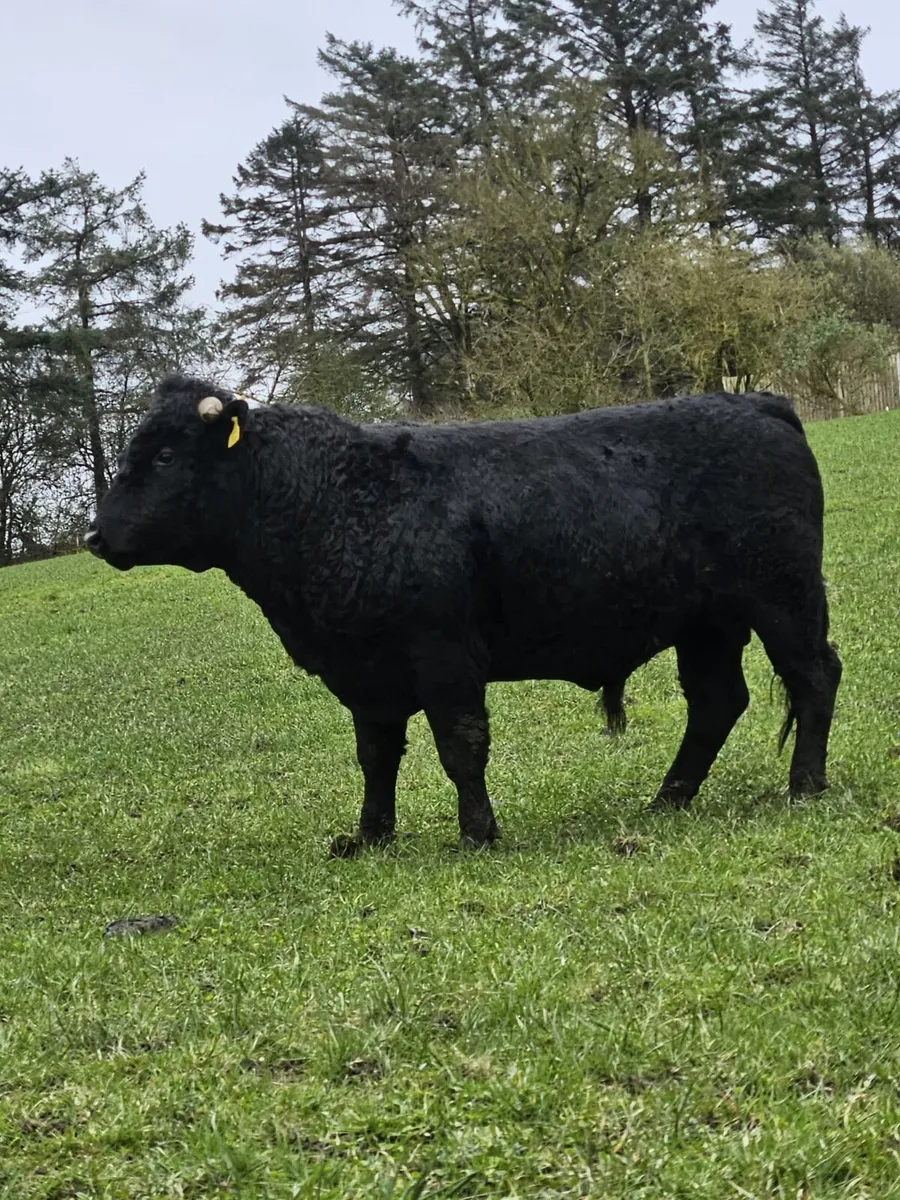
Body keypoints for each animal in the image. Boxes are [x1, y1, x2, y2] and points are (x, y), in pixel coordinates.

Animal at [85, 373, 842, 855]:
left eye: (165, 453)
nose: (96, 535)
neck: (334, 499)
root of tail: (759, 404)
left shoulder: (443, 654)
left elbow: (460, 745)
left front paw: (477, 832)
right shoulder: (365, 674)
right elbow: (375, 755)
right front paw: (371, 835)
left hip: (784, 597)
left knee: (813, 676)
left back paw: (805, 786)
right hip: (707, 622)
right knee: (717, 701)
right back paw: (669, 799)